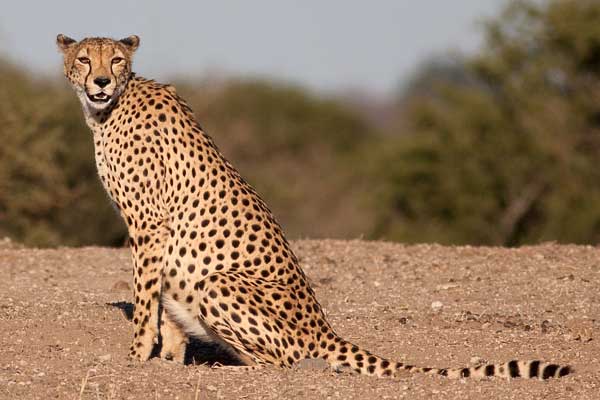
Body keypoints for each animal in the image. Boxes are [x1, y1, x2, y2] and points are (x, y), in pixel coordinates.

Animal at [57, 33, 572, 378]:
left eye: (116, 59)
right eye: (84, 58)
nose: (100, 80)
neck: (110, 108)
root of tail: (323, 326)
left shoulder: (149, 225)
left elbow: (148, 298)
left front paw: (137, 357)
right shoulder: (156, 233)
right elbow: (165, 302)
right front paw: (168, 361)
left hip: (220, 282)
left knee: (285, 360)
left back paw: (232, 371)